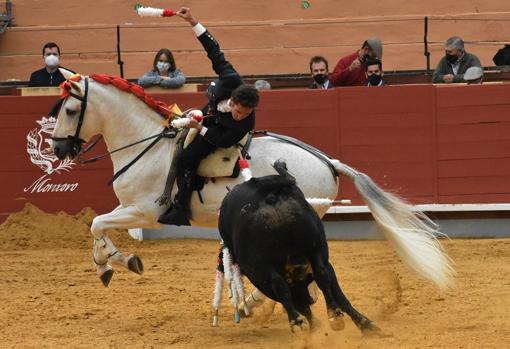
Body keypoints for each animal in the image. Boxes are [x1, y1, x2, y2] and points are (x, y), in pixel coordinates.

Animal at [48, 69, 454, 290]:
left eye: (70, 109)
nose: (58, 148)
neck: (146, 143)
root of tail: (327, 161)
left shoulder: (144, 212)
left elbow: (97, 224)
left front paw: (114, 263)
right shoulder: (128, 209)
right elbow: (99, 225)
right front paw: (112, 262)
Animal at [217, 160, 380, 332]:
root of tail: (264, 193)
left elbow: (298, 301)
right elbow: (336, 293)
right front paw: (362, 323)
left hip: (261, 264)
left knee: (279, 285)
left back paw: (298, 322)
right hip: (316, 246)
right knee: (322, 274)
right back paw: (335, 315)